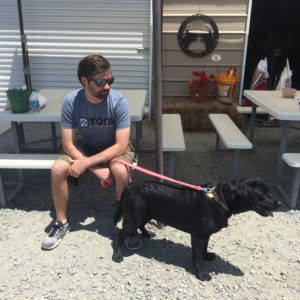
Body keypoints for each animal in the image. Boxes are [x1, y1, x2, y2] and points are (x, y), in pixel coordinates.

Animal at [112, 177, 282, 280]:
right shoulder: (198, 236)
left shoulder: (205, 234)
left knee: (140, 225)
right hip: (134, 217)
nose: (280, 203)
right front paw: (202, 274)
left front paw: (207, 255)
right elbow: (198, 257)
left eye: (269, 191)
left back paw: (147, 234)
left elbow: (204, 249)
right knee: (120, 235)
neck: (220, 200)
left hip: (147, 213)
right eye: (264, 194)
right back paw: (117, 256)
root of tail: (128, 186)